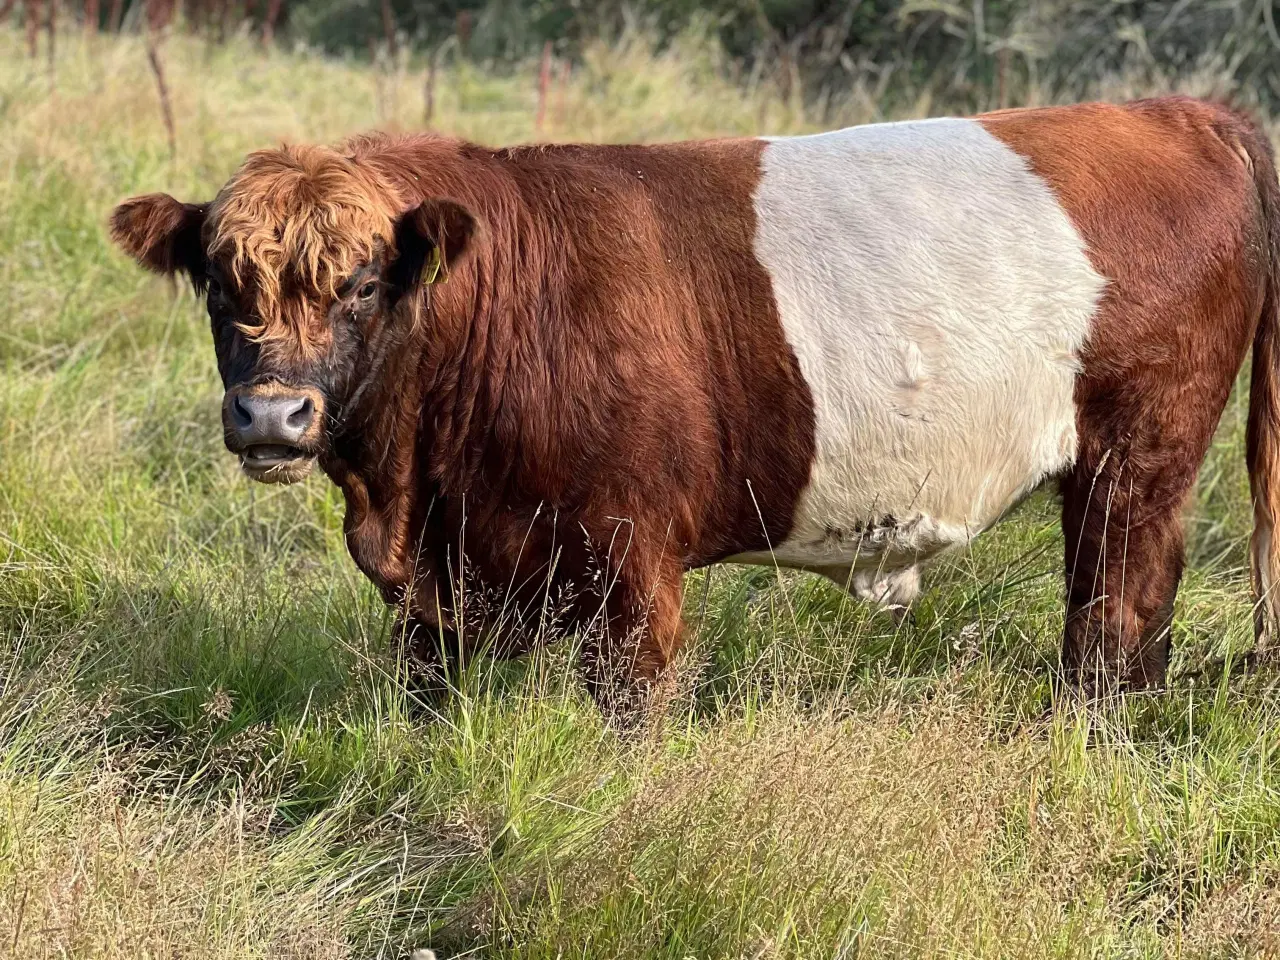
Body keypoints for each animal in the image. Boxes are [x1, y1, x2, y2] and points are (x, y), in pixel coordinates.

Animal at [107, 97, 1280, 711]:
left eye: (357, 285)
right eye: (218, 284)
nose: (272, 418)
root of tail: (1181, 109)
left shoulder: (630, 568)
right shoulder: (441, 592)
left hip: (1134, 462)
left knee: (1115, 617)